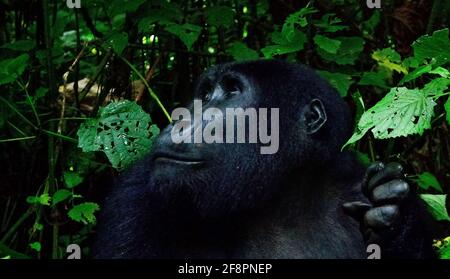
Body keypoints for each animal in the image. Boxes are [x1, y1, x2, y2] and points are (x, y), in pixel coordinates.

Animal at [93, 60, 434, 260]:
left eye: (232, 92)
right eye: (205, 94)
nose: (179, 121)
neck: (281, 199)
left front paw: (396, 221)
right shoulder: (134, 199)